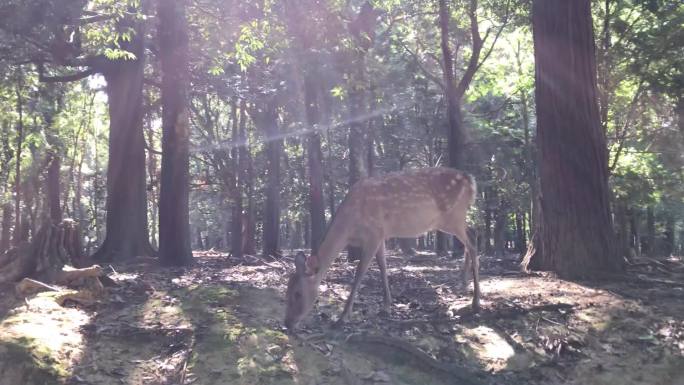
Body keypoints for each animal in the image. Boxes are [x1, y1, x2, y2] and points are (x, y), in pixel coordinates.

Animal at [284, 166, 480, 328]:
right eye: (286, 290)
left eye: (297, 293)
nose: (287, 323)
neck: (349, 228)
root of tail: (470, 179)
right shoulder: (380, 236)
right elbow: (383, 267)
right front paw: (386, 307)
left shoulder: (373, 233)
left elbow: (360, 273)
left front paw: (343, 317)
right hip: (453, 220)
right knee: (472, 235)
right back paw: (463, 282)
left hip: (453, 217)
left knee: (473, 242)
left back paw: (475, 302)